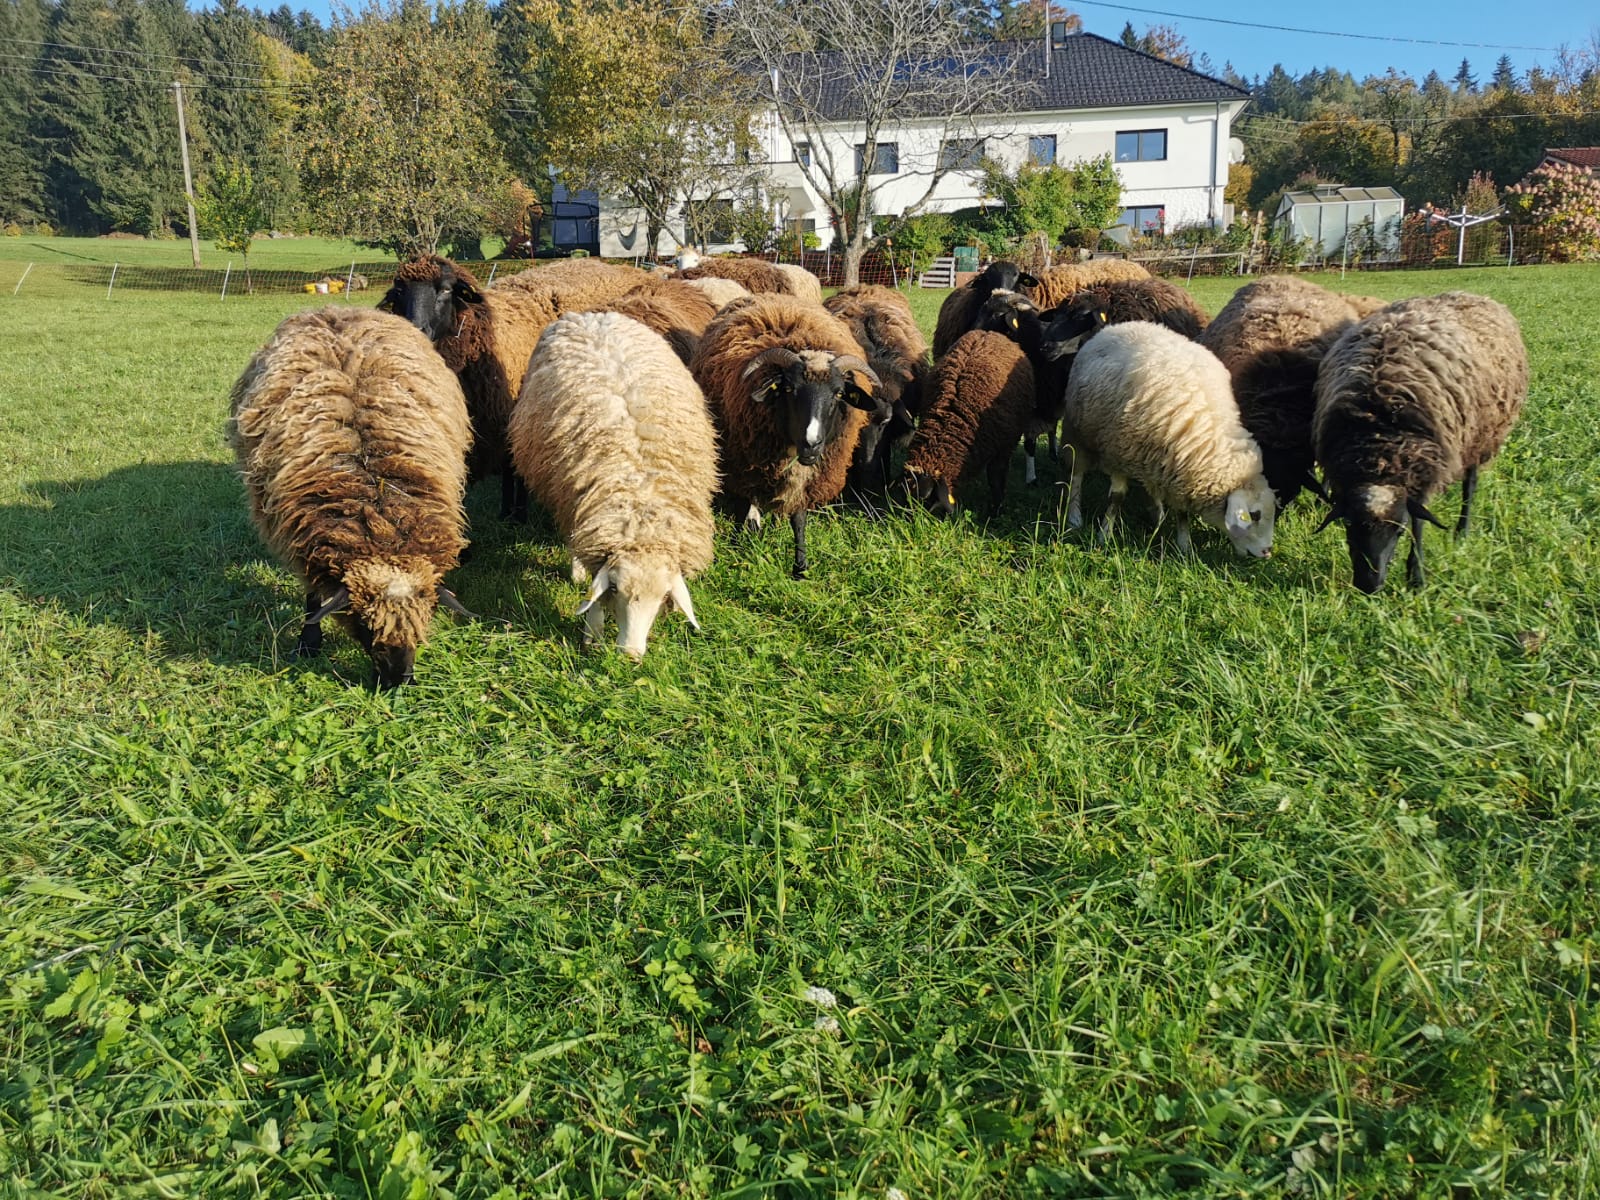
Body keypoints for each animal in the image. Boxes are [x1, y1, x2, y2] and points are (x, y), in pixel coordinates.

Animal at [377, 256, 640, 518]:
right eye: (399, 291)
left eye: (445, 290)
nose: (415, 329)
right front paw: (505, 511)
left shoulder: (515, 417)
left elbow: (514, 470)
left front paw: (517, 514)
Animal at [512, 310, 720, 662]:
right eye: (615, 589)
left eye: (663, 597)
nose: (630, 654)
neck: (641, 495)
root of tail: (590, 315)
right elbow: (592, 596)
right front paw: (592, 635)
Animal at [1062, 321, 1273, 563]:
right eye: (1254, 515)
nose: (1268, 552)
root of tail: (1121, 325)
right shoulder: (1118, 454)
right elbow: (1116, 499)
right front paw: (1104, 535)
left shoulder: (1180, 473)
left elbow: (1182, 512)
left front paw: (1184, 546)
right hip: (1078, 433)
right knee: (1076, 474)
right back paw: (1074, 517)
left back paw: (1157, 513)